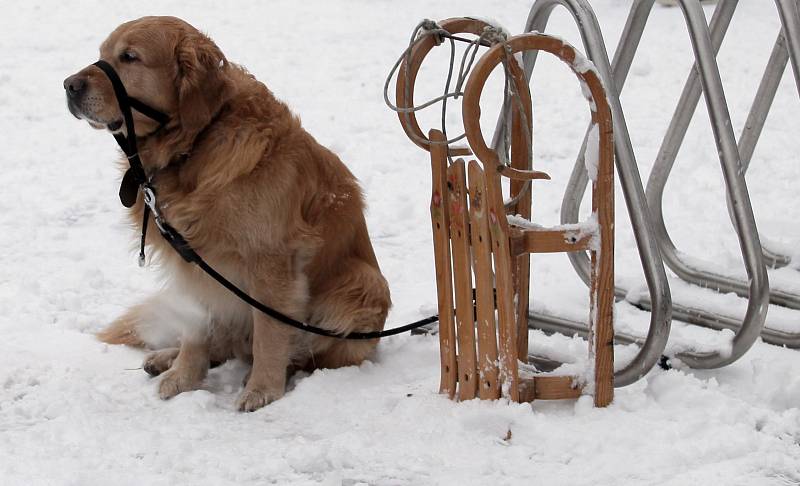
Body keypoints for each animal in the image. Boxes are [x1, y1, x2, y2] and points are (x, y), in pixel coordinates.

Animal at [62, 16, 390, 410]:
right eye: (102, 53)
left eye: (129, 57)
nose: (68, 85)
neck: (196, 144)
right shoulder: (191, 261)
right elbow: (195, 328)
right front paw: (184, 374)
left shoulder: (271, 262)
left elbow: (270, 333)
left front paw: (262, 389)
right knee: (225, 344)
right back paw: (167, 357)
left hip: (361, 284)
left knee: (299, 352)